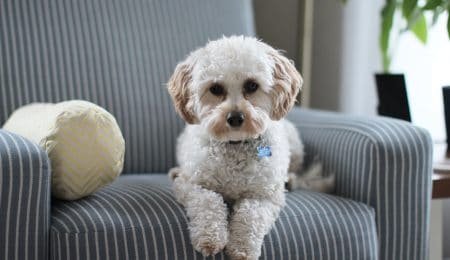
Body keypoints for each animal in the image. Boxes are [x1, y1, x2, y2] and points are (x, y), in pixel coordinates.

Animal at [166, 35, 334, 258]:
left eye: (252, 86)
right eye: (215, 88)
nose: (235, 118)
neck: (235, 145)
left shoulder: (264, 196)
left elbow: (250, 215)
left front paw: (241, 248)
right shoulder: (192, 185)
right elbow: (208, 201)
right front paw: (210, 237)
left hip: (295, 144)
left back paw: (289, 179)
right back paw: (175, 171)